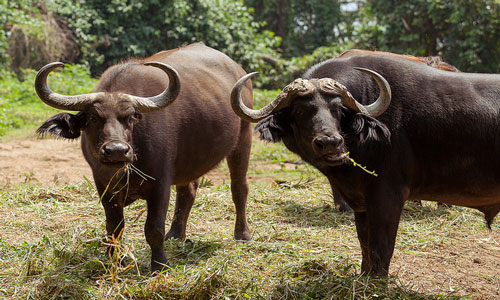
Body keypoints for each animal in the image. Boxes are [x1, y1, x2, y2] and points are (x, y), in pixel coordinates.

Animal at [35, 42, 254, 272]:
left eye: (131, 118)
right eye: (94, 118)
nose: (117, 150)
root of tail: (237, 69)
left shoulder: (160, 184)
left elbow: (154, 228)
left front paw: (159, 264)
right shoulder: (103, 185)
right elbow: (114, 227)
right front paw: (116, 260)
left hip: (243, 137)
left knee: (239, 187)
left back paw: (242, 234)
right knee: (188, 191)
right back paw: (176, 235)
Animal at [232, 54, 500, 276]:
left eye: (338, 109)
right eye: (299, 112)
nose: (330, 142)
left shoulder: (388, 196)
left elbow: (382, 246)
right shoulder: (360, 202)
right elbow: (365, 243)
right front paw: (363, 276)